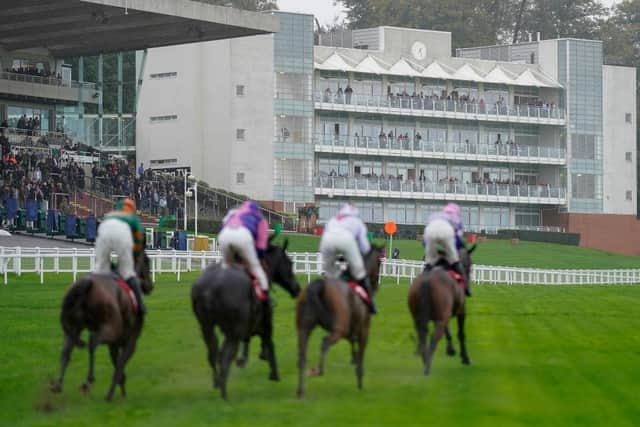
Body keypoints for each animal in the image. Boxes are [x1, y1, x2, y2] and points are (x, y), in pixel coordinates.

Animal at [50, 252, 154, 400]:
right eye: (147, 262)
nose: (150, 286)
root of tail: (86, 283)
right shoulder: (130, 342)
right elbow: (120, 364)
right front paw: (112, 393)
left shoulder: (114, 344)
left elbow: (117, 363)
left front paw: (121, 388)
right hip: (109, 329)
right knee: (92, 343)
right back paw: (88, 380)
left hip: (73, 329)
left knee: (65, 353)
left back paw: (58, 385)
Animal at [190, 239, 300, 400]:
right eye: (290, 263)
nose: (297, 289)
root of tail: (210, 288)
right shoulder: (265, 323)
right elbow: (269, 343)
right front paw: (273, 372)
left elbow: (249, 341)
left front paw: (250, 358)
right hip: (233, 332)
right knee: (225, 356)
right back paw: (224, 394)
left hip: (206, 327)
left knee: (213, 354)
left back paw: (217, 382)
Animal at [296, 246, 382, 400]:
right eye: (380, 262)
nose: (376, 284)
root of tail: (319, 285)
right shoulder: (364, 329)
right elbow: (361, 351)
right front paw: (360, 379)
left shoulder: (349, 330)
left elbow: (352, 343)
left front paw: (353, 359)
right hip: (337, 328)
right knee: (325, 343)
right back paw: (317, 370)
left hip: (303, 327)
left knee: (302, 356)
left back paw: (301, 391)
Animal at [408, 246, 472, 376]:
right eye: (469, 264)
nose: (468, 289)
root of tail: (426, 282)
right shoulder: (461, 310)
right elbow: (461, 334)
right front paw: (465, 357)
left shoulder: (443, 314)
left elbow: (448, 331)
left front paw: (451, 349)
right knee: (433, 338)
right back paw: (427, 366)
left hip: (418, 317)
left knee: (422, 336)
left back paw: (424, 357)